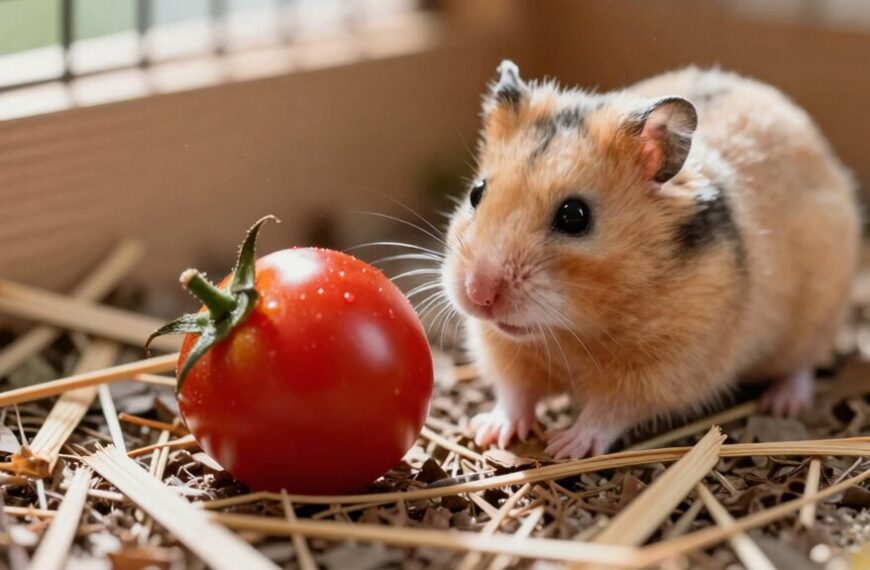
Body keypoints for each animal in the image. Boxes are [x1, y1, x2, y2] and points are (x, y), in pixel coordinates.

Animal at [442, 61, 860, 459]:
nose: (478, 294)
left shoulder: (664, 369)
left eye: (574, 216)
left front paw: (565, 447)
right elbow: (515, 393)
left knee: (802, 365)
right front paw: (489, 431)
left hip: (814, 319)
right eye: (476, 193)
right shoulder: (504, 349)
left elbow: (609, 410)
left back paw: (783, 404)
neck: (569, 332)